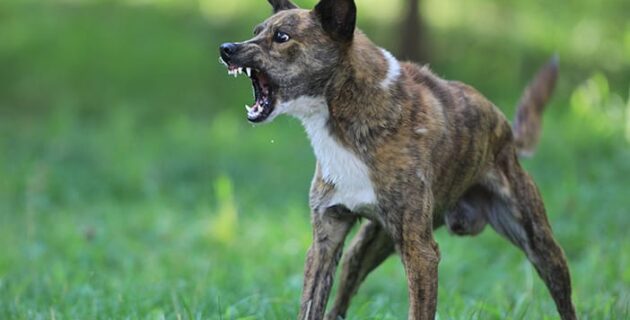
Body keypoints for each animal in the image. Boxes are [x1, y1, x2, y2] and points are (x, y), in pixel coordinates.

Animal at [220, 0, 580, 320]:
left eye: (282, 37)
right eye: (256, 32)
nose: (226, 48)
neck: (345, 115)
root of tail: (506, 132)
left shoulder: (421, 254)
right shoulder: (325, 240)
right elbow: (312, 305)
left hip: (541, 246)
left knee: (564, 299)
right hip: (365, 248)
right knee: (341, 300)